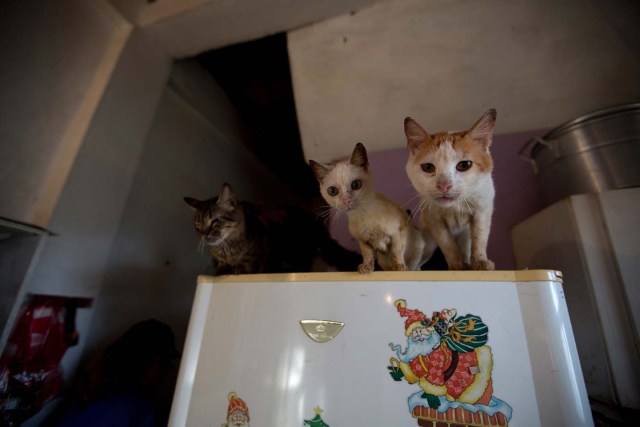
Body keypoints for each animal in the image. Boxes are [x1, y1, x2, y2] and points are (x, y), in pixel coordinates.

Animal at [184, 182, 360, 276]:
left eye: (216, 220)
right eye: (198, 225)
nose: (205, 235)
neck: (228, 249)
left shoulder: (259, 258)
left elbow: (248, 267)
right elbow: (220, 268)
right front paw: (218, 272)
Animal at [308, 143, 432, 274]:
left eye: (356, 184)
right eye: (332, 191)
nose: (346, 201)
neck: (363, 214)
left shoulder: (398, 233)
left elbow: (396, 252)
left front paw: (399, 267)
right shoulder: (364, 242)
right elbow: (367, 255)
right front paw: (367, 268)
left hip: (418, 247)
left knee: (415, 265)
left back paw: (408, 269)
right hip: (382, 261)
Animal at [402, 110, 498, 270]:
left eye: (464, 165)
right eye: (428, 167)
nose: (444, 185)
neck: (454, 208)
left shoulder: (482, 210)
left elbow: (479, 238)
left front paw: (480, 262)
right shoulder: (434, 219)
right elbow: (448, 244)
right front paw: (457, 265)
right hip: (426, 243)